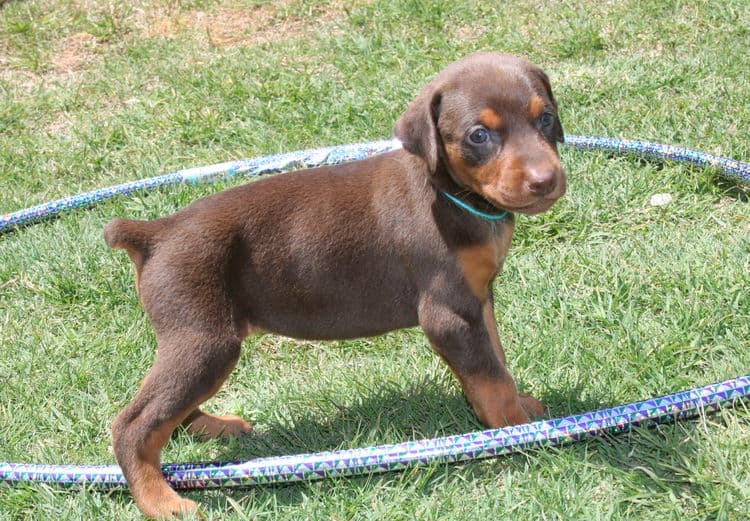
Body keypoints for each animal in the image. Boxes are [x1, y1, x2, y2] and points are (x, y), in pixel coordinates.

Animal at [104, 51, 564, 516]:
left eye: (545, 118)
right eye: (478, 135)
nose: (546, 180)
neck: (454, 195)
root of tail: (155, 232)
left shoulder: (478, 298)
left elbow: (495, 359)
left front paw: (520, 407)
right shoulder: (449, 312)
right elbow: (491, 380)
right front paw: (519, 432)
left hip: (196, 344)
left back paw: (211, 427)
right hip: (205, 340)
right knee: (133, 424)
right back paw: (161, 501)